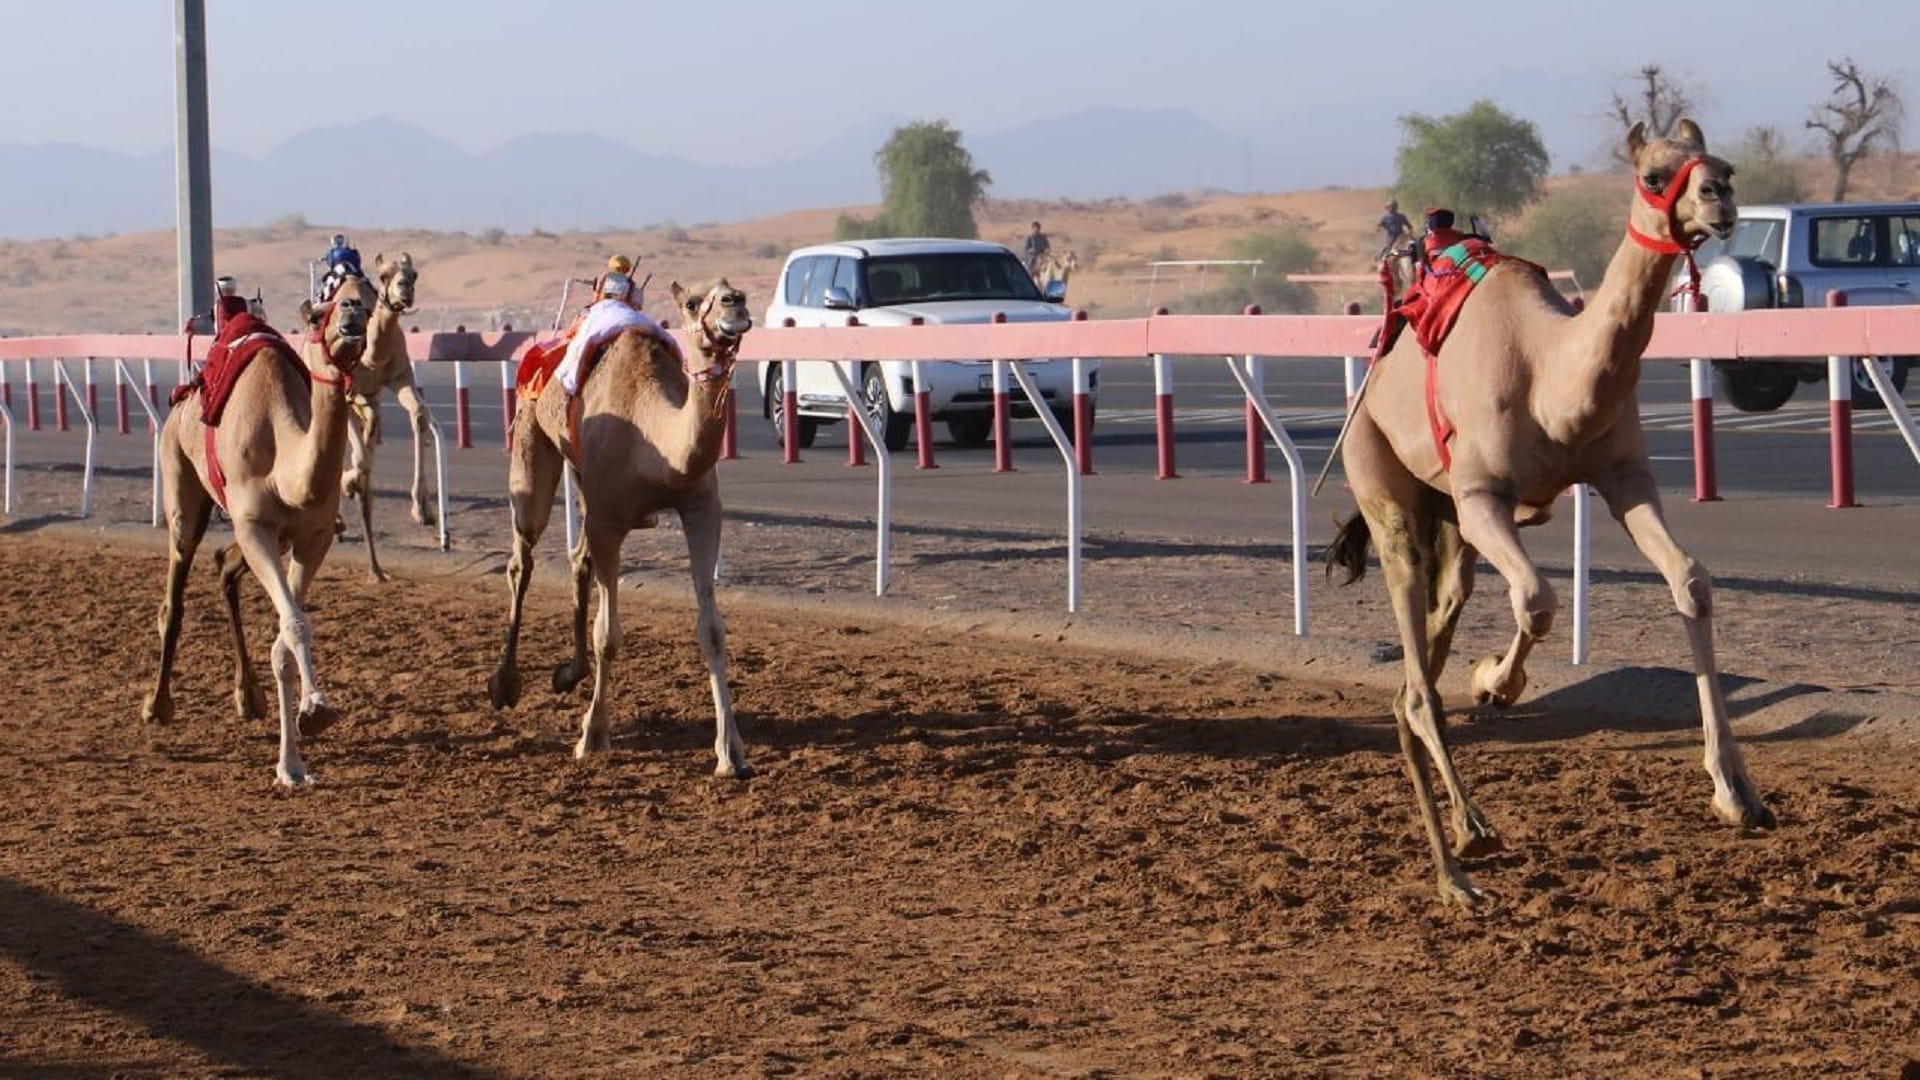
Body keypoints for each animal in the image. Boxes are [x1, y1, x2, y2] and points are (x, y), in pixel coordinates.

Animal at [141, 286, 370, 787]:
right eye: (319, 314)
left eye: (368, 302)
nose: (352, 308)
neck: (285, 467)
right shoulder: (255, 529)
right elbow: (294, 625)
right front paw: (307, 729)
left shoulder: (313, 537)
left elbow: (285, 635)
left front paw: (301, 741)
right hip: (181, 487)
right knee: (174, 596)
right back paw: (157, 705)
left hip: (265, 539)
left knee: (225, 566)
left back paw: (248, 697)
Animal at [334, 251, 435, 580]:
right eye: (383, 276)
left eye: (414, 274)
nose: (404, 290)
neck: (371, 355)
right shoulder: (347, 392)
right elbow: (359, 459)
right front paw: (348, 483)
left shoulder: (399, 378)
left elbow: (419, 415)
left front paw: (422, 509)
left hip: (373, 399)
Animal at [487, 272, 756, 768]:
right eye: (693, 302)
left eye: (735, 290)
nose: (735, 305)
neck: (656, 442)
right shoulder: (610, 520)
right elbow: (607, 635)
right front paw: (591, 736)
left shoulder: (701, 509)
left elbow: (712, 629)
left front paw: (731, 752)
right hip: (531, 440)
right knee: (522, 556)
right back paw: (504, 683)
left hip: (584, 481)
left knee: (578, 558)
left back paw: (569, 673)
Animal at [1328, 122, 1774, 903]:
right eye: (1654, 175)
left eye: (1724, 165)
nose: (1719, 200)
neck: (1551, 378)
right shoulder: (1482, 496)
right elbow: (1538, 599)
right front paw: (1495, 682)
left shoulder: (1623, 478)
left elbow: (1690, 580)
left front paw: (1736, 792)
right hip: (1382, 478)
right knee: (1416, 655)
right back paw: (1464, 854)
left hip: (1446, 519)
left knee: (1422, 662)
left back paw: (1457, 838)